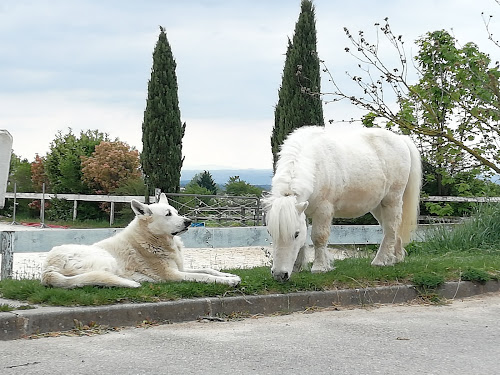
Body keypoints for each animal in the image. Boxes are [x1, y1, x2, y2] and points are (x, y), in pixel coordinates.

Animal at [41, 195, 240, 290]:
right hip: (106, 259)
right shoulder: (174, 275)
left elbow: (207, 270)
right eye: (168, 214)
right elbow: (204, 277)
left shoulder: (180, 268)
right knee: (105, 277)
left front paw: (228, 275)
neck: (152, 238)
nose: (189, 222)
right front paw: (227, 281)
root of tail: (48, 269)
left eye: (176, 212)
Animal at [264, 126, 420, 282]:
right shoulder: (304, 212)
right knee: (391, 229)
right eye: (270, 232)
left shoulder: (324, 210)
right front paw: (298, 267)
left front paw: (319, 267)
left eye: (295, 234)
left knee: (391, 227)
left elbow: (318, 237)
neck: (315, 163)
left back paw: (380, 261)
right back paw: (395, 258)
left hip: (391, 200)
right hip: (378, 206)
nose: (279, 274)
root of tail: (401, 139)